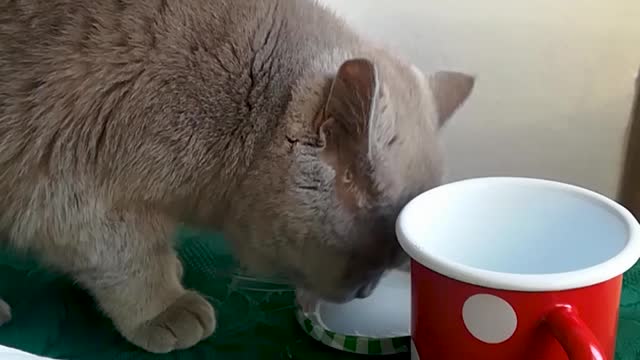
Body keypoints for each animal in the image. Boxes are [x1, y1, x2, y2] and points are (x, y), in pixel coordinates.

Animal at [0, 0, 470, 352]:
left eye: (393, 262)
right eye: (366, 256)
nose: (367, 293)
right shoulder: (75, 184)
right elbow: (127, 258)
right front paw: (166, 307)